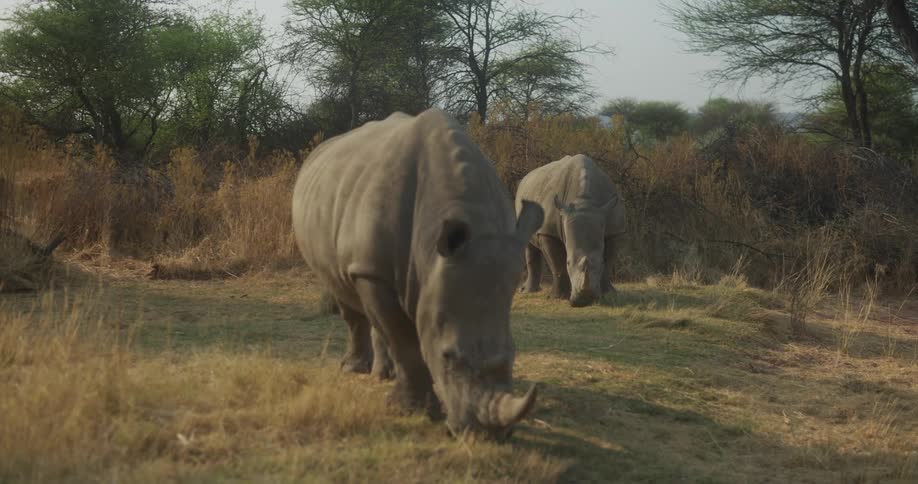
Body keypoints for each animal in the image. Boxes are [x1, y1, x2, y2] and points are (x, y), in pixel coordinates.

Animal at [292, 108, 544, 441]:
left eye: (515, 354)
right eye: (447, 356)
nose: (486, 436)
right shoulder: (372, 271)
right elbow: (405, 341)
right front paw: (411, 411)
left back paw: (383, 374)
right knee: (344, 291)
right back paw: (354, 370)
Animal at [514, 154, 626, 307]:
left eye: (600, 262)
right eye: (568, 262)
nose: (586, 300)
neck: (584, 201)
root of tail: (526, 177)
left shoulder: (614, 230)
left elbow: (608, 263)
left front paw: (608, 294)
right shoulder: (548, 232)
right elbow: (558, 265)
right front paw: (557, 297)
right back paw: (528, 291)